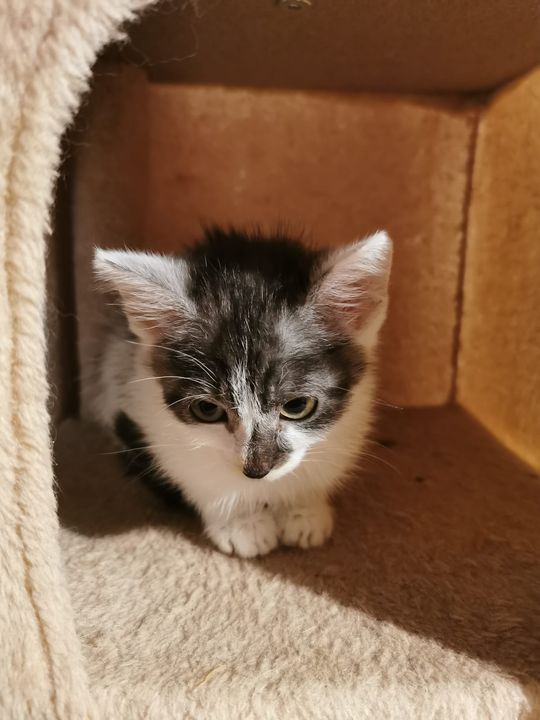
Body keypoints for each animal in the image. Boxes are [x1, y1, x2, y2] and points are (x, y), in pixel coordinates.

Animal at [91, 227, 392, 558]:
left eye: (298, 405)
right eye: (207, 410)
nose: (256, 470)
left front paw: (303, 509)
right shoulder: (148, 408)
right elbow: (197, 474)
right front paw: (240, 523)